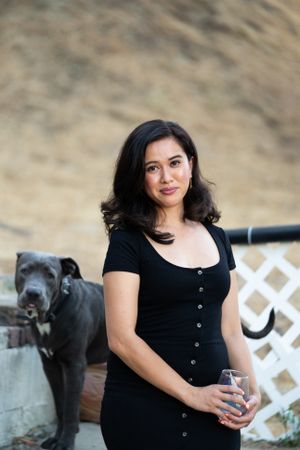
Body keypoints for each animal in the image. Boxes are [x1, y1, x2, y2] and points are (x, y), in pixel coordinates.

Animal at [14, 253, 109, 450]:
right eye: (24, 270)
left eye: (50, 275)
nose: (33, 293)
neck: (54, 312)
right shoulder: (51, 367)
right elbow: (60, 406)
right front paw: (56, 439)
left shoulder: (75, 367)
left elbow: (71, 408)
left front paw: (66, 443)